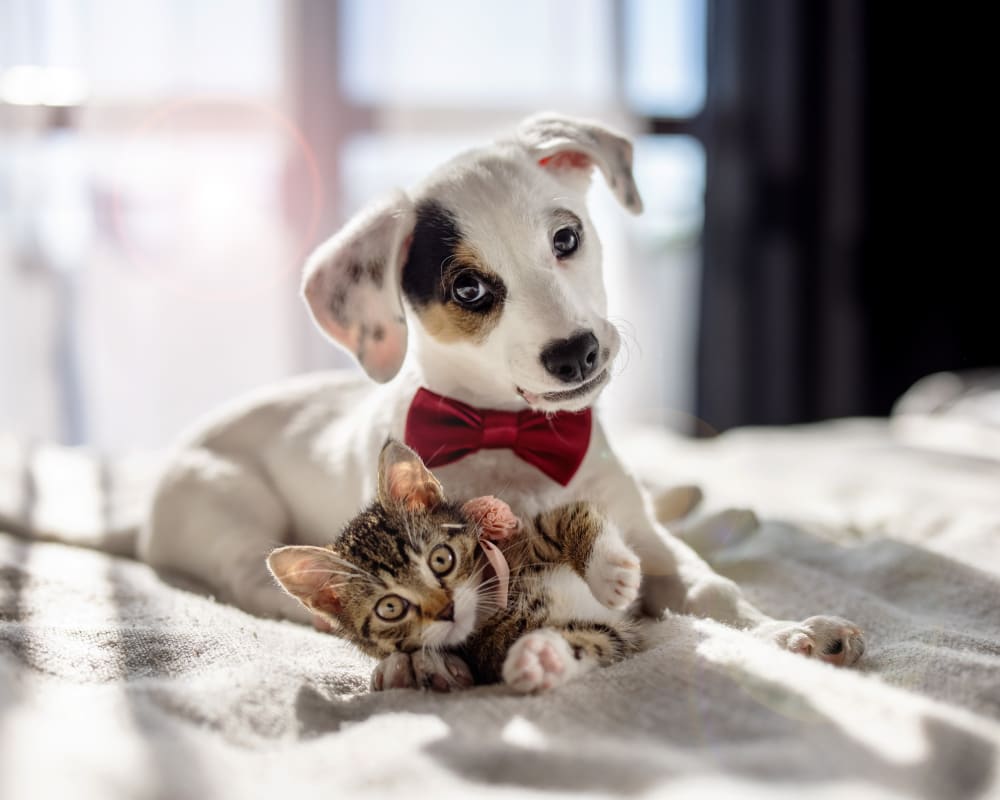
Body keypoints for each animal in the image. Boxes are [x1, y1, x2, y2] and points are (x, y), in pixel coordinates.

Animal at [268, 440, 640, 692]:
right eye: (390, 608)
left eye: (441, 559)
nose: (447, 610)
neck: (499, 602)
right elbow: (594, 639)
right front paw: (542, 658)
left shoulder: (527, 535)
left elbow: (571, 515)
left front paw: (613, 574)